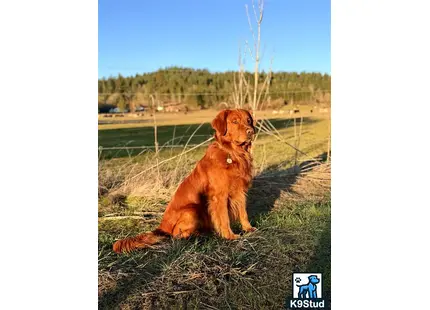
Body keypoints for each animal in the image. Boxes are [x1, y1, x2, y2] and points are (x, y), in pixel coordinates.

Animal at [112, 109, 256, 254]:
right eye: (234, 121)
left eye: (249, 120)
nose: (251, 131)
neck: (233, 154)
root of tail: (162, 227)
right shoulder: (219, 196)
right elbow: (224, 218)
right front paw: (229, 236)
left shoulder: (240, 191)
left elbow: (243, 213)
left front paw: (248, 229)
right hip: (192, 210)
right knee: (178, 235)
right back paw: (199, 235)